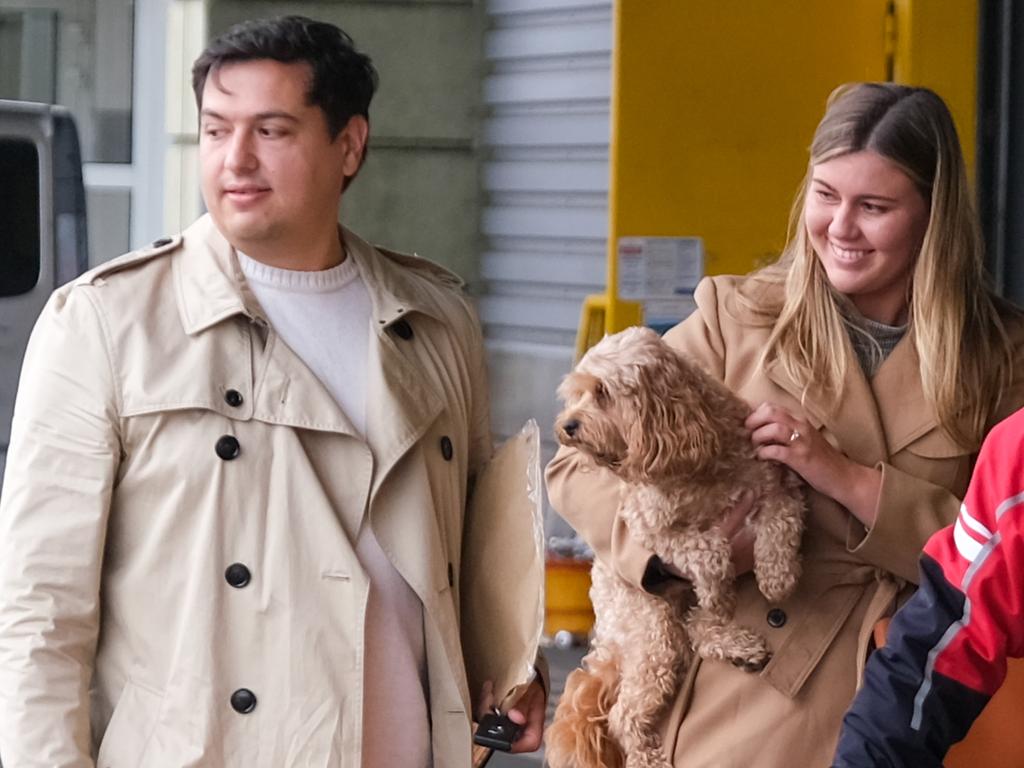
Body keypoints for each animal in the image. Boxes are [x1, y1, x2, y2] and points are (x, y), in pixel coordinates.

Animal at [548, 325, 802, 768]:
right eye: (577, 393)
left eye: (603, 392)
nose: (567, 425)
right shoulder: (649, 528)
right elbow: (709, 550)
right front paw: (721, 585)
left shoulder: (773, 487)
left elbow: (781, 522)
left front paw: (778, 577)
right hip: (653, 629)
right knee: (623, 713)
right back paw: (646, 756)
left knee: (698, 629)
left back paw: (737, 644)